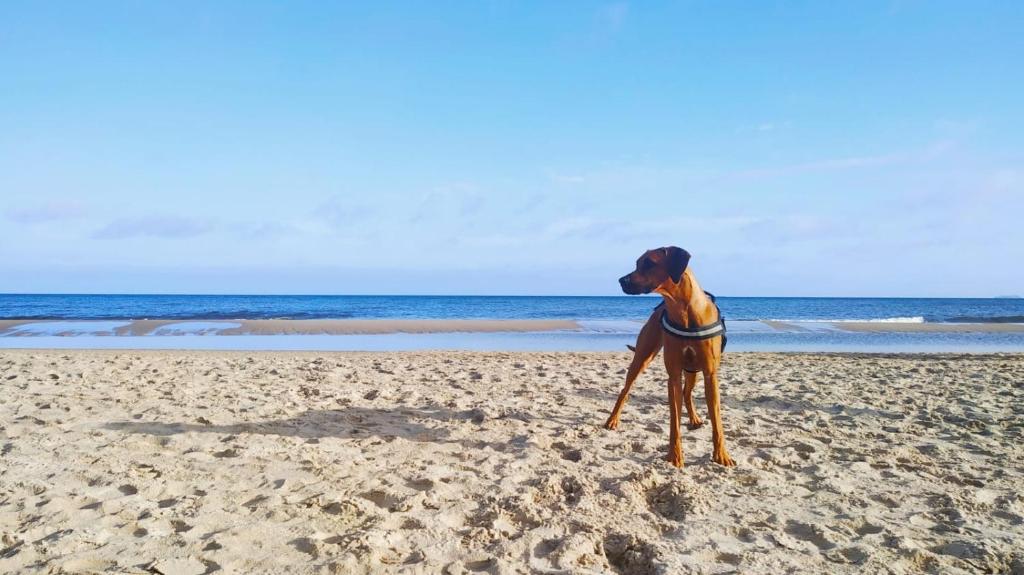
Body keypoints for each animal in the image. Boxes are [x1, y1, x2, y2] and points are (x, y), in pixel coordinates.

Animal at [604, 246, 735, 468]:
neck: (684, 311)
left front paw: (721, 455)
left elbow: (717, 420)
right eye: (637, 263)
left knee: (687, 393)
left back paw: (694, 418)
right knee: (625, 391)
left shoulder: (710, 374)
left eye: (649, 263)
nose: (621, 280)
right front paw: (675, 456)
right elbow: (674, 420)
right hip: (642, 358)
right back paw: (612, 420)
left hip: (693, 371)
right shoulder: (673, 375)